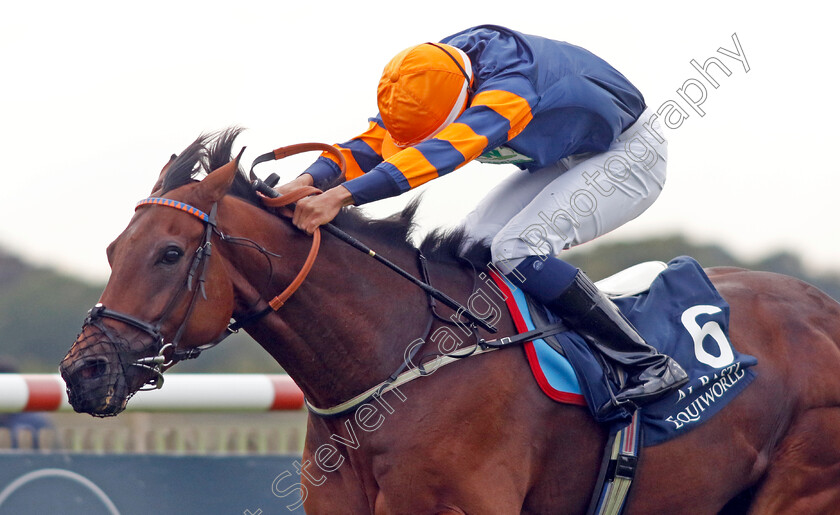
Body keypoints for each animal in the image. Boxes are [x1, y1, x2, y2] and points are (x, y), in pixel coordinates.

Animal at [62, 130, 840, 515]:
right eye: (112, 250)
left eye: (169, 253)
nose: (82, 371)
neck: (396, 362)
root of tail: (824, 308)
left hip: (800, 492)